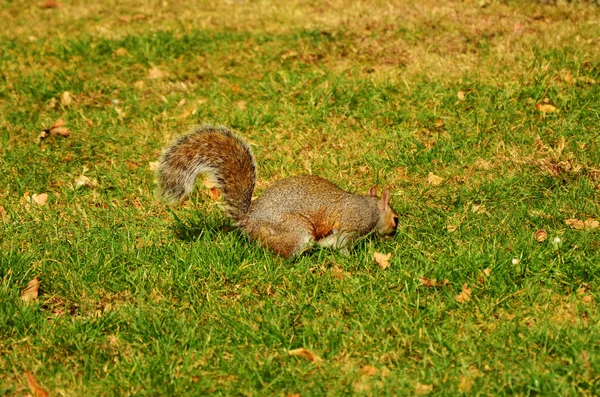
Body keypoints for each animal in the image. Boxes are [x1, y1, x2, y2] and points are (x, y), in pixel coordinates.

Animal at [158, 125, 398, 258]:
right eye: (395, 219)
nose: (394, 234)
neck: (370, 207)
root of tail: (249, 220)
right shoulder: (350, 225)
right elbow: (342, 244)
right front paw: (352, 259)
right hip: (295, 230)